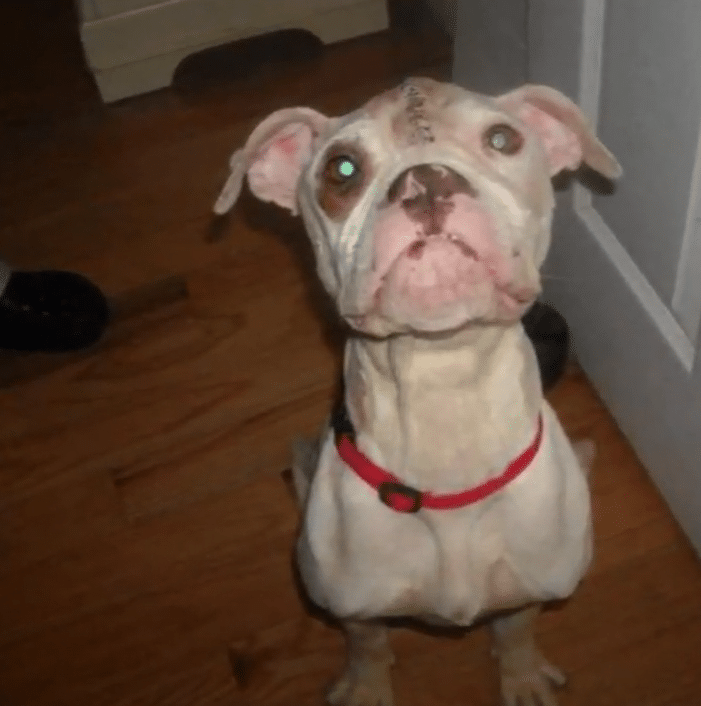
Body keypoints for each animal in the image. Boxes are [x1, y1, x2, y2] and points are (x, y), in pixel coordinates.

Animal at [214, 77, 620, 706]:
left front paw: (522, 675)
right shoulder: (354, 607)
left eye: (502, 139)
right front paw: (367, 687)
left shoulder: (529, 588)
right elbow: (368, 644)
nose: (427, 180)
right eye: (342, 168)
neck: (442, 388)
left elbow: (517, 627)